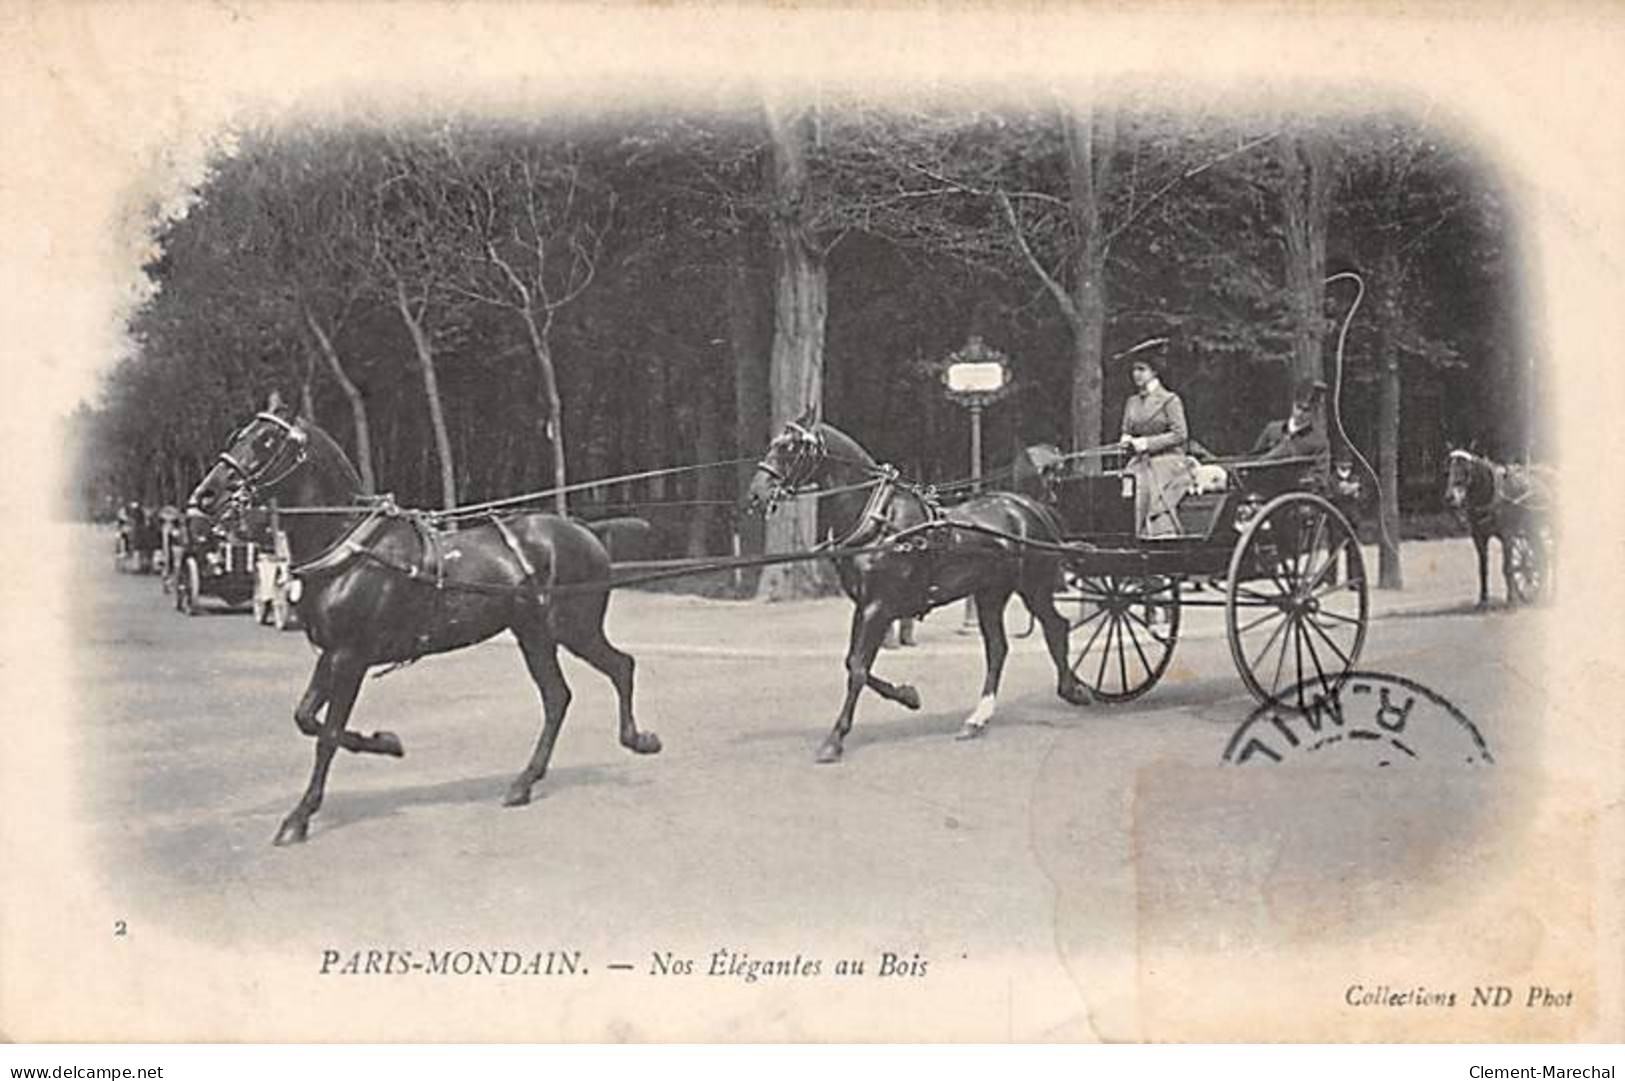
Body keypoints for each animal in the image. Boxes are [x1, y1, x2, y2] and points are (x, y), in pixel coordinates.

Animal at [193, 398, 663, 845]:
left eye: (265, 440)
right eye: (239, 434)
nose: (205, 496)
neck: (350, 548)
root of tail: (586, 532)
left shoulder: (350, 656)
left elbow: (327, 734)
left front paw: (298, 817)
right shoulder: (331, 653)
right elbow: (307, 717)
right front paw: (386, 743)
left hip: (573, 627)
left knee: (620, 667)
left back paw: (637, 739)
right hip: (533, 634)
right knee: (557, 697)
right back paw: (524, 782)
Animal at [747, 411, 1092, 757]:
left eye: (790, 447)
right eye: (774, 443)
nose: (756, 494)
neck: (880, 520)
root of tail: (1029, 506)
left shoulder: (877, 606)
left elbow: (857, 668)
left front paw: (835, 738)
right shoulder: (866, 605)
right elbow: (854, 664)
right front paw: (907, 695)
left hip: (1034, 586)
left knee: (1055, 627)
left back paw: (1073, 689)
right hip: (990, 594)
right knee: (998, 648)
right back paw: (977, 719)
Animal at [1456, 445, 1553, 607]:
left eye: (1466, 471)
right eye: (1447, 470)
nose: (1450, 497)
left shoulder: (1507, 535)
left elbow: (1507, 568)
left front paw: (1511, 599)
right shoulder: (1479, 536)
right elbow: (1483, 567)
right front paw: (1483, 599)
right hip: (1533, 531)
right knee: (1541, 558)